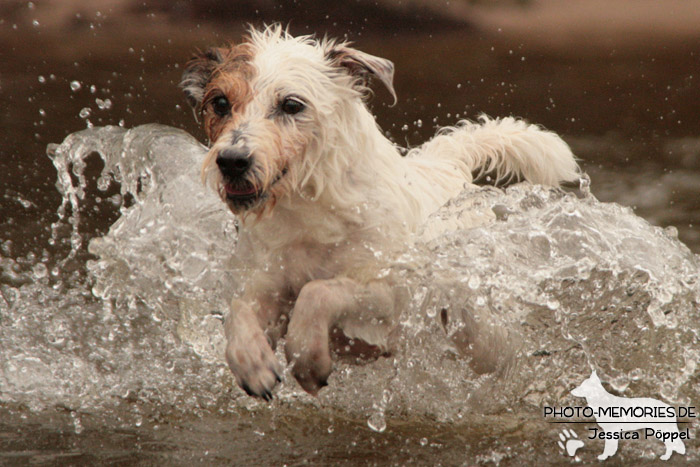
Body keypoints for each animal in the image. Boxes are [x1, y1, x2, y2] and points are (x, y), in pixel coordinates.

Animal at [180, 23, 580, 400]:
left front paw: (308, 358)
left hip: (481, 333)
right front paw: (254, 365)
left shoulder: (391, 295)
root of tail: (448, 164)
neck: (308, 212)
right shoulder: (265, 286)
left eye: (292, 105)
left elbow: (319, 291)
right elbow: (238, 310)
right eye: (220, 103)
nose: (232, 161)